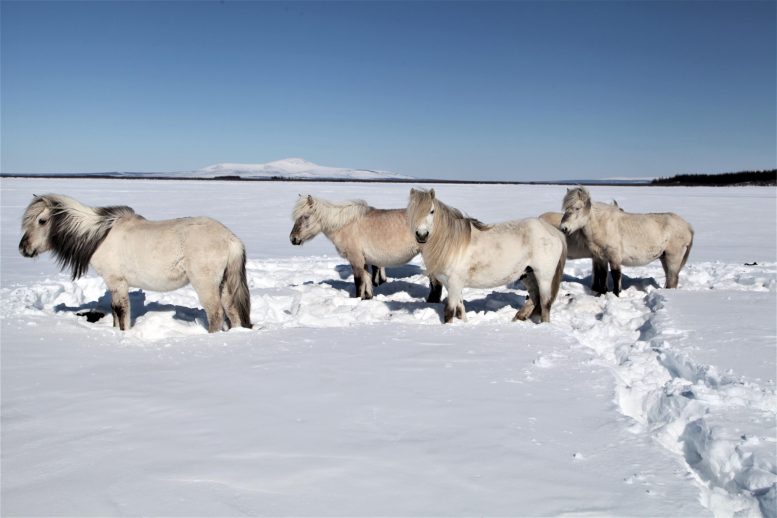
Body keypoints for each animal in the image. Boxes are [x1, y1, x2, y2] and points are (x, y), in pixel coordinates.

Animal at [18, 194, 250, 334]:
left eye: (41, 221)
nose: (23, 248)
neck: (99, 235)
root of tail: (230, 238)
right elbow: (114, 311)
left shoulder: (117, 282)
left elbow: (121, 311)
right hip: (224, 284)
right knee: (232, 312)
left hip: (206, 284)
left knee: (216, 313)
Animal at [288, 195, 440, 302]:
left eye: (305, 216)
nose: (293, 239)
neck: (345, 225)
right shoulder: (365, 260)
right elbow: (367, 281)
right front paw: (367, 298)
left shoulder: (356, 259)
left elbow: (359, 281)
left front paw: (357, 299)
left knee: (436, 284)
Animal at [406, 187, 564, 324]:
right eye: (411, 211)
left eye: (432, 211)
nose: (422, 235)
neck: (451, 244)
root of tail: (552, 230)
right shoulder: (453, 285)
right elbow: (460, 310)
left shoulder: (454, 283)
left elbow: (449, 312)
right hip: (528, 274)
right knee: (534, 297)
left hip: (543, 276)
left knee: (545, 302)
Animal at [556, 187, 692, 296]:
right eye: (566, 209)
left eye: (577, 208)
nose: (564, 228)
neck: (603, 225)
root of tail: (688, 226)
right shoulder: (600, 257)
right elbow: (602, 275)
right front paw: (602, 293)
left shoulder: (614, 257)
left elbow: (616, 276)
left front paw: (616, 294)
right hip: (664, 258)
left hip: (672, 258)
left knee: (672, 278)